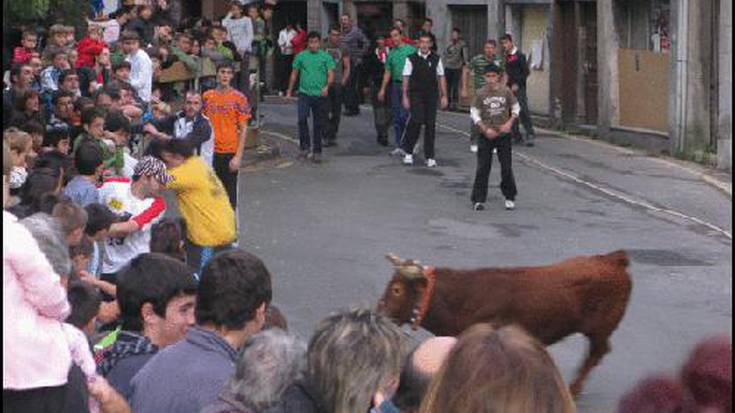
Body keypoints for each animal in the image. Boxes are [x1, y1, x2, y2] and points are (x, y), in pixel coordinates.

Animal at [380, 249, 632, 394]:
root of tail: (613, 260)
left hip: (601, 328)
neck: (463, 298)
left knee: (598, 352)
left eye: (396, 289)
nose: (379, 310)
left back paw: (574, 388)